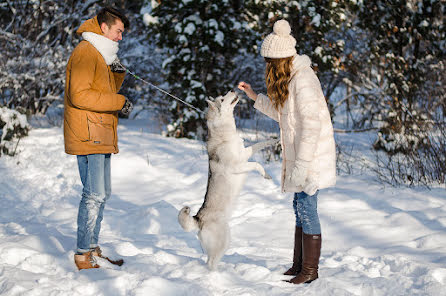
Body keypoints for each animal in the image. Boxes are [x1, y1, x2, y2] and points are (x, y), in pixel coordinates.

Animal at [178, 91, 276, 270]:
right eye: (222, 98)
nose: (233, 90)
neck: (225, 134)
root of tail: (199, 219)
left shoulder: (245, 153)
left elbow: (260, 144)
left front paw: (275, 140)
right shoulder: (238, 165)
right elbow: (256, 164)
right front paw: (265, 175)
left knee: (209, 260)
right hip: (224, 240)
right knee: (211, 263)